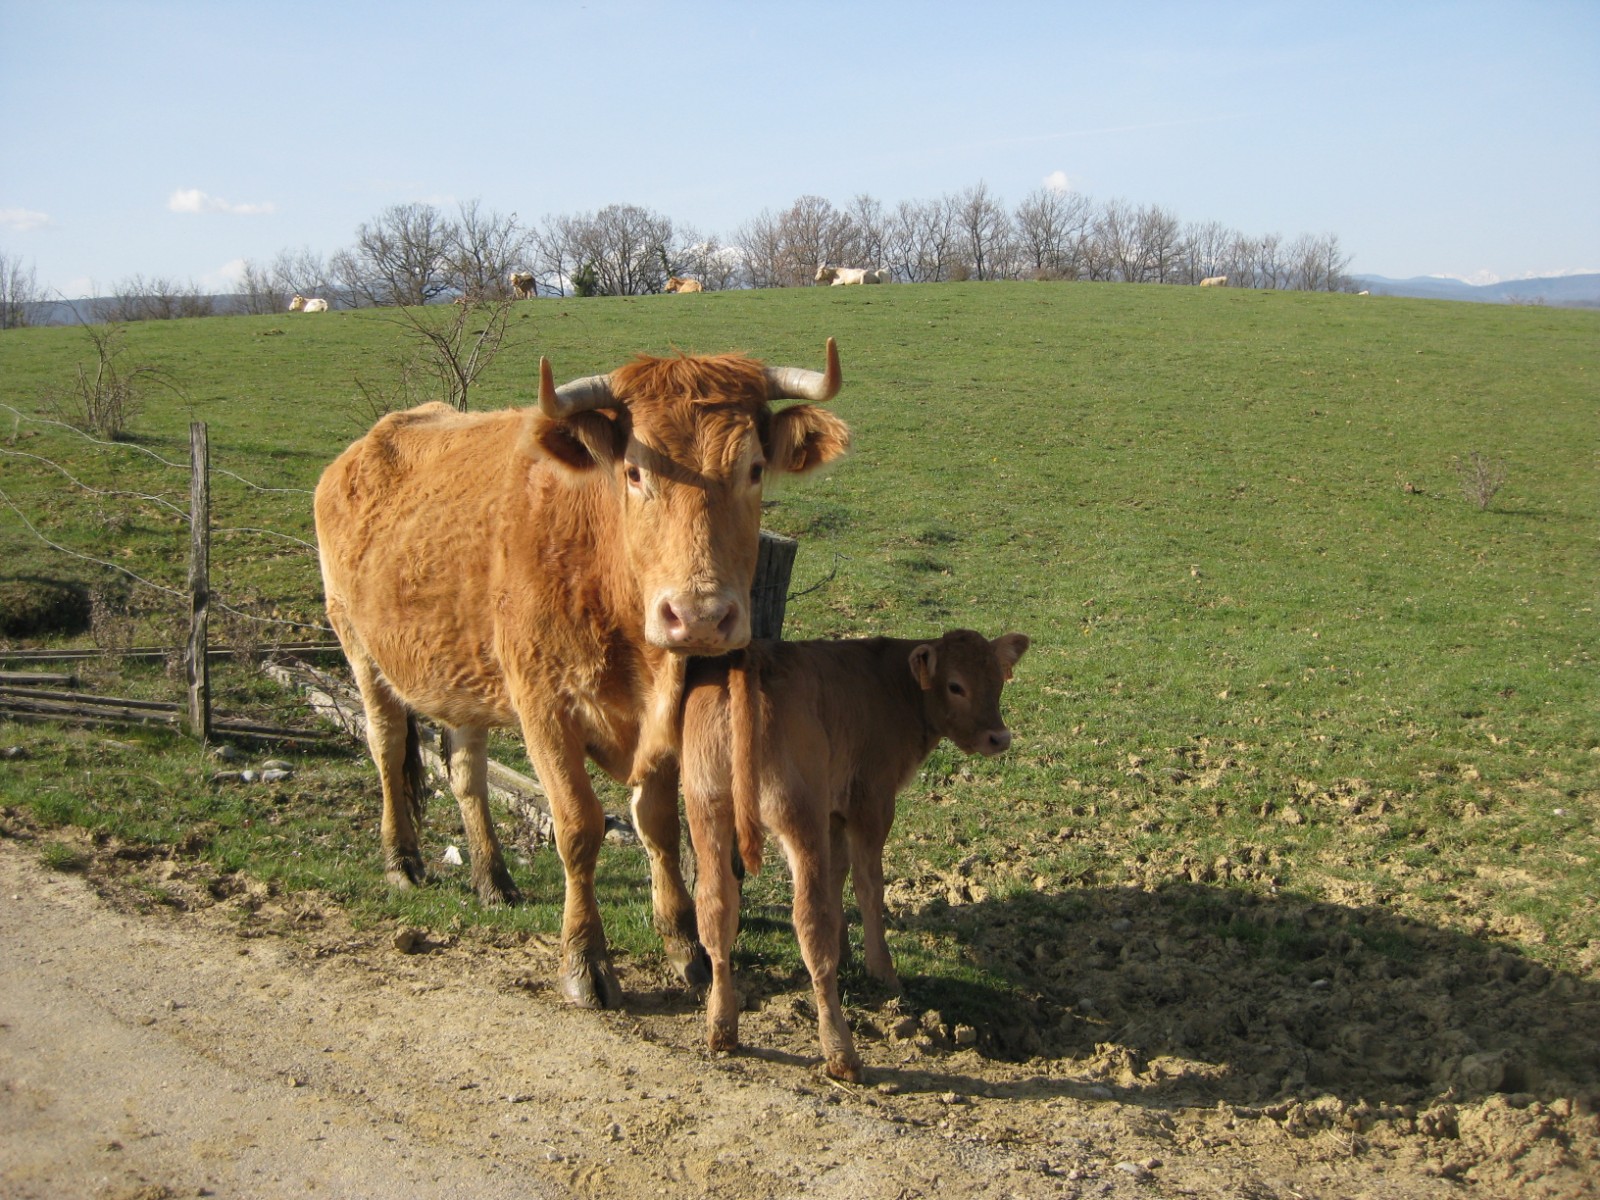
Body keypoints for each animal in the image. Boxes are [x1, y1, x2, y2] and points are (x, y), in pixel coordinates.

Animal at [314, 340, 851, 1008]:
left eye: (753, 469)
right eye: (635, 472)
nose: (699, 615)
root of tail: (371, 440)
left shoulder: (667, 715)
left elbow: (659, 827)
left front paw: (685, 944)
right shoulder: (545, 710)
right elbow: (578, 828)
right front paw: (585, 959)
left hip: (465, 675)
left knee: (466, 773)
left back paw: (493, 878)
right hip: (358, 646)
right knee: (387, 746)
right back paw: (402, 861)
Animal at [680, 629, 1030, 1081]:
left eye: (999, 679)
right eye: (956, 685)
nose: (999, 737)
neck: (888, 684)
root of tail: (750, 662)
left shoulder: (835, 810)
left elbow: (837, 875)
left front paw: (847, 952)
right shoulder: (871, 801)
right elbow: (868, 885)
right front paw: (881, 970)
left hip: (707, 810)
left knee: (716, 908)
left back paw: (722, 1026)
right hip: (800, 815)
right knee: (810, 921)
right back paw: (840, 1050)